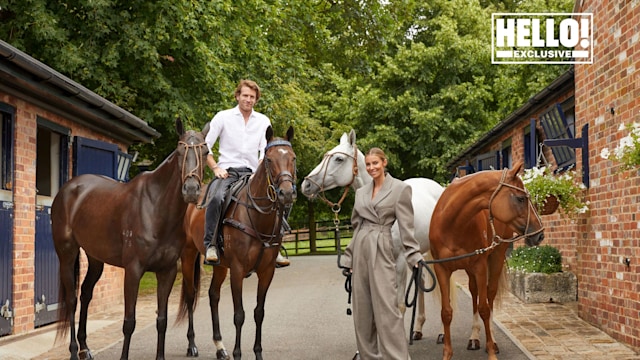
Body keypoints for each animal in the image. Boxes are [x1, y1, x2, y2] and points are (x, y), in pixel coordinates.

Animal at [52, 119, 209, 360]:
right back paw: (73, 351)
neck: (155, 208)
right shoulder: (133, 270)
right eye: (180, 152)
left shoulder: (167, 271)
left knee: (86, 294)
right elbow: (129, 322)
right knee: (71, 300)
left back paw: (85, 348)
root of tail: (68, 189)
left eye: (206, 151)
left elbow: (161, 320)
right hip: (67, 254)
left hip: (95, 259)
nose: (191, 190)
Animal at [179, 126, 296, 360]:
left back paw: (220, 346)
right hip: (188, 255)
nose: (287, 193)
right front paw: (238, 353)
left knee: (213, 295)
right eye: (269, 160)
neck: (258, 217)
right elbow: (239, 315)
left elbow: (259, 313)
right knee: (190, 295)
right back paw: (192, 345)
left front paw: (257, 353)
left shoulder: (267, 272)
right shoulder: (238, 270)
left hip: (220, 266)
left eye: (293, 158)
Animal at [300, 129, 450, 340]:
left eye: (338, 159)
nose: (306, 185)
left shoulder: (399, 261)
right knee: (420, 280)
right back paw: (418, 328)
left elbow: (398, 305)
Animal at [428, 163, 544, 360]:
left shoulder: (480, 267)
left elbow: (484, 308)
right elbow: (446, 312)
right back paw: (474, 337)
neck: (452, 225)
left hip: (495, 257)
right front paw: (447, 354)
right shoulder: (442, 269)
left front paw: (491, 352)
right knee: (474, 291)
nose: (540, 234)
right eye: (521, 198)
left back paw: (493, 341)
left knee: (490, 295)